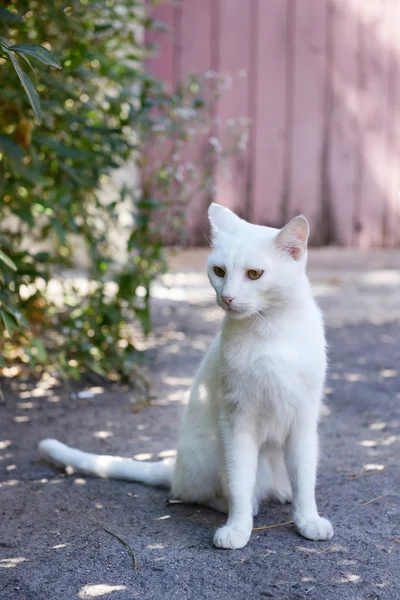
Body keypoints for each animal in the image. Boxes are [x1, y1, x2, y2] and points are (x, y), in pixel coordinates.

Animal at [39, 205, 332, 548]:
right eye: (219, 271)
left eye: (254, 275)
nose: (227, 297)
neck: (270, 331)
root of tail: (175, 466)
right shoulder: (237, 421)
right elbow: (239, 481)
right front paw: (238, 527)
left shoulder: (302, 420)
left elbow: (304, 480)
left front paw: (308, 520)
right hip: (207, 451)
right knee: (197, 492)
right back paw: (241, 505)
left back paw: (282, 493)